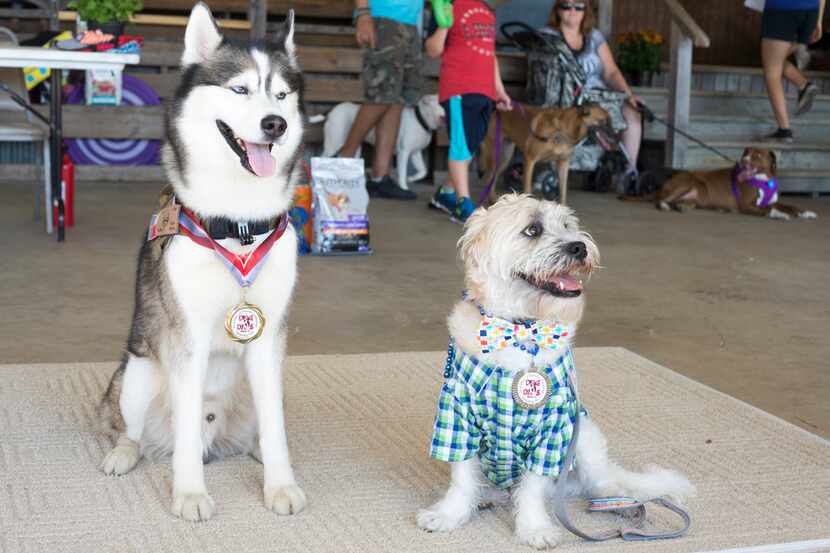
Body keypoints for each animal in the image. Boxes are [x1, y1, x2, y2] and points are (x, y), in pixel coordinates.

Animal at [97, 3, 306, 520]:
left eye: (281, 94)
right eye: (240, 89)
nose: (275, 124)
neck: (240, 225)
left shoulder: (269, 338)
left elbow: (275, 428)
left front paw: (280, 483)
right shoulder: (186, 338)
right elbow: (186, 431)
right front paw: (189, 493)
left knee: (260, 427)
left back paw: (256, 450)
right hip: (137, 375)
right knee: (131, 429)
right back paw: (124, 453)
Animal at [320, 94, 448, 189]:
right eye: (443, 104)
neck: (420, 120)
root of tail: (331, 111)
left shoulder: (415, 153)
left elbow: (423, 171)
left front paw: (412, 178)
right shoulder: (404, 153)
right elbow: (402, 173)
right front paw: (404, 187)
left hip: (354, 146)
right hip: (333, 144)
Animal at [416, 194, 696, 548]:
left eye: (566, 225)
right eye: (532, 230)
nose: (579, 246)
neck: (521, 331)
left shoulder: (552, 432)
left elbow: (533, 488)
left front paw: (533, 528)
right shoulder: (458, 420)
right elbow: (463, 477)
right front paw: (449, 515)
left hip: (585, 438)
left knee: (600, 485)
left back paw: (625, 506)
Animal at [478, 102, 620, 205]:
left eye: (610, 122)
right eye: (604, 122)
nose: (617, 140)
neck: (563, 129)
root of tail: (496, 110)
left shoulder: (563, 164)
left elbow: (563, 191)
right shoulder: (530, 160)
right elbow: (528, 189)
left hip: (504, 158)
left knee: (492, 177)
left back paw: (493, 200)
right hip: (494, 155)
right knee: (488, 177)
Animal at [656, 147, 820, 220]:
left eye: (758, 155)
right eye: (746, 153)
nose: (743, 161)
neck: (763, 180)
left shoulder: (772, 201)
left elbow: (789, 206)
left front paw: (804, 212)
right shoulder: (746, 205)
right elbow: (767, 209)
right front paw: (779, 214)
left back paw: (682, 206)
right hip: (689, 181)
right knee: (660, 199)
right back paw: (665, 205)